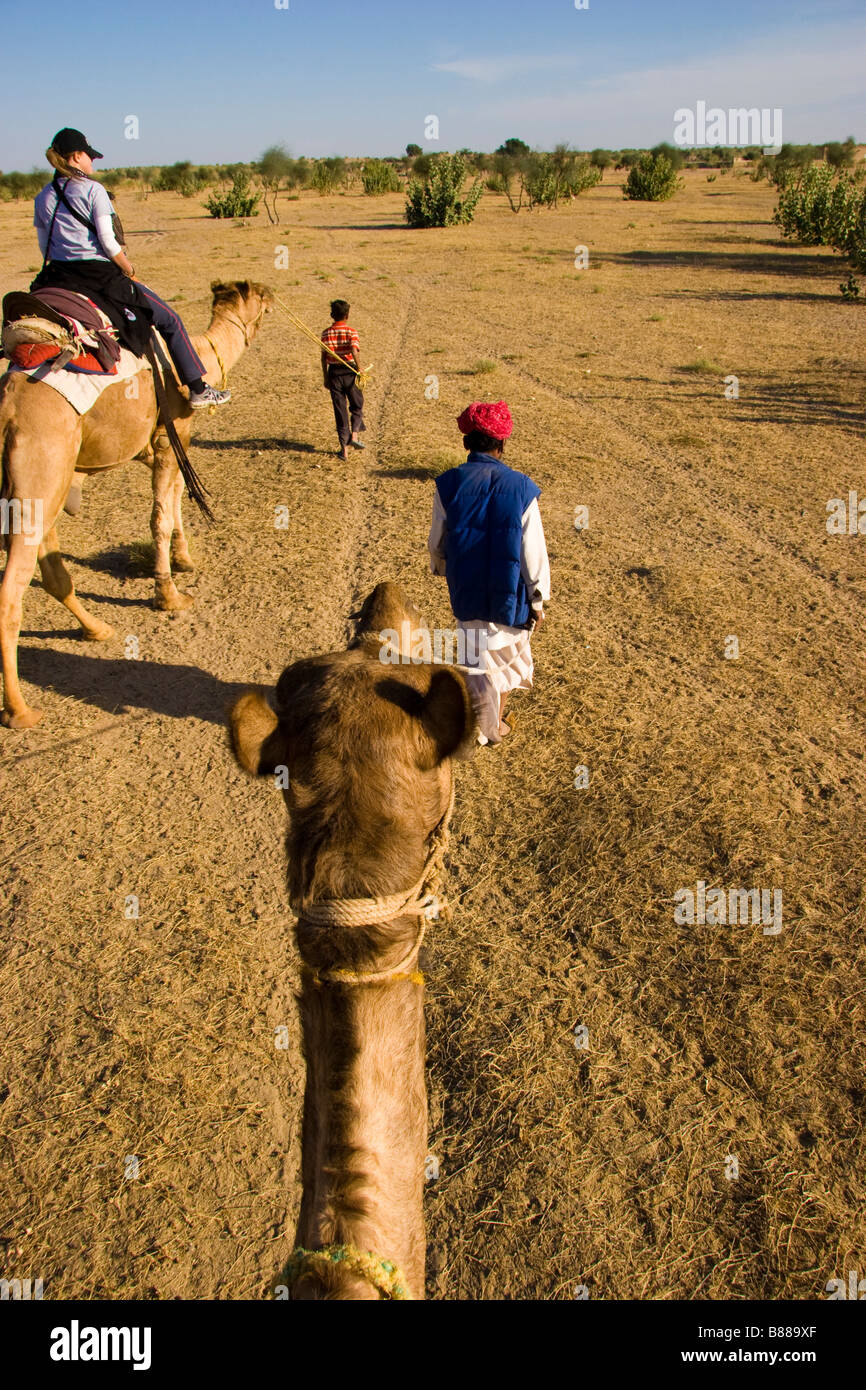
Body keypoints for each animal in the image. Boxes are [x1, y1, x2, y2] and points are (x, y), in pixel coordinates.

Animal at [0, 279, 271, 728]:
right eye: (262, 297)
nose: (272, 297)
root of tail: (6, 405)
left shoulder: (160, 444)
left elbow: (175, 499)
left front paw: (184, 560)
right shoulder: (170, 435)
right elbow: (160, 514)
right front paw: (169, 595)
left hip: (44, 483)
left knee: (52, 566)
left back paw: (96, 629)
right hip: (40, 468)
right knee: (12, 590)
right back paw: (20, 710)